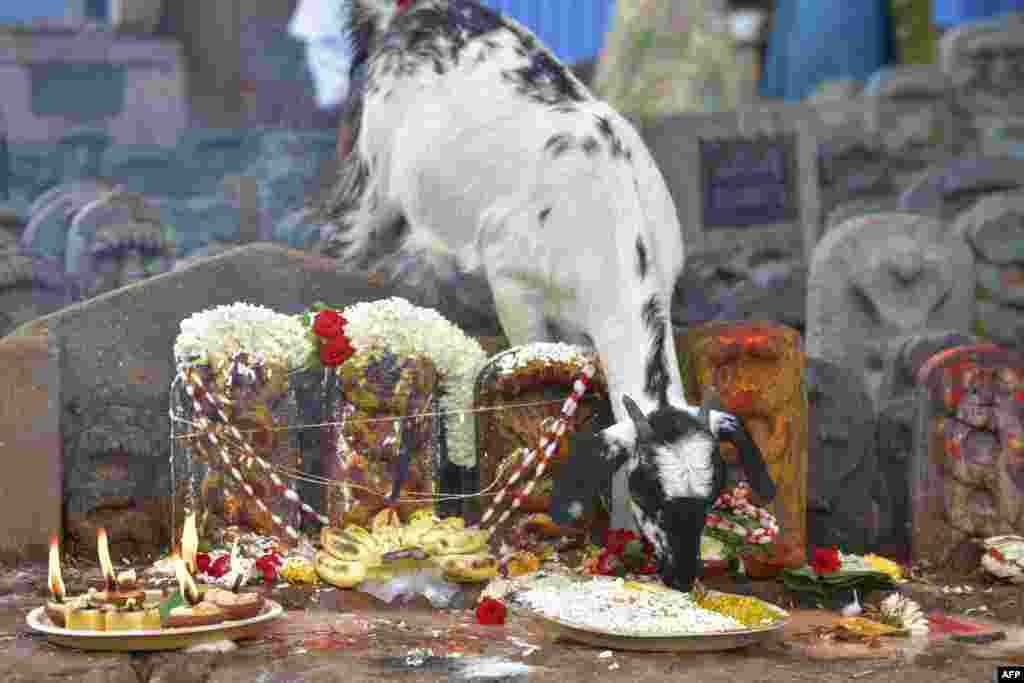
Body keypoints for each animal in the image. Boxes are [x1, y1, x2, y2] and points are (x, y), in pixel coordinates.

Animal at [325, 0, 774, 589]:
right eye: (651, 488)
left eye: (714, 492)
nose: (680, 574)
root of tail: (407, 13)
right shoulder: (513, 288)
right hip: (371, 184)